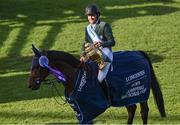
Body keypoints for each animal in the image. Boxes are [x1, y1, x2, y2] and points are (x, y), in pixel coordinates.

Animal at [27, 45, 166, 124]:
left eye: (38, 67)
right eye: (31, 66)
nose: (30, 84)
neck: (74, 76)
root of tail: (139, 53)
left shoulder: (87, 110)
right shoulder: (80, 110)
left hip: (140, 93)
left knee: (144, 111)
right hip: (126, 96)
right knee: (132, 109)